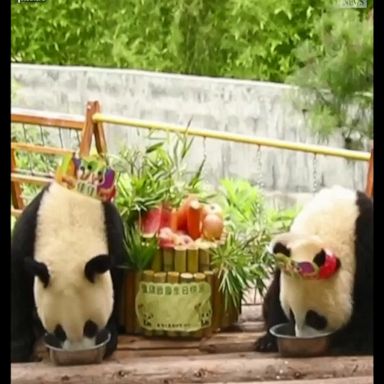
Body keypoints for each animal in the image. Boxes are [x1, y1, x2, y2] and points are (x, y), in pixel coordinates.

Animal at [11, 154, 124, 364]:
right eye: (59, 331)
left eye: (90, 326)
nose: (78, 354)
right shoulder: (30, 228)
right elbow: (17, 280)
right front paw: (18, 347)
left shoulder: (111, 229)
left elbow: (117, 279)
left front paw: (110, 336)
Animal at [255, 184, 372, 356]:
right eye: (291, 314)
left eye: (315, 319)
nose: (302, 339)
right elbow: (275, 293)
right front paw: (267, 342)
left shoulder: (364, 247)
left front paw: (356, 342)